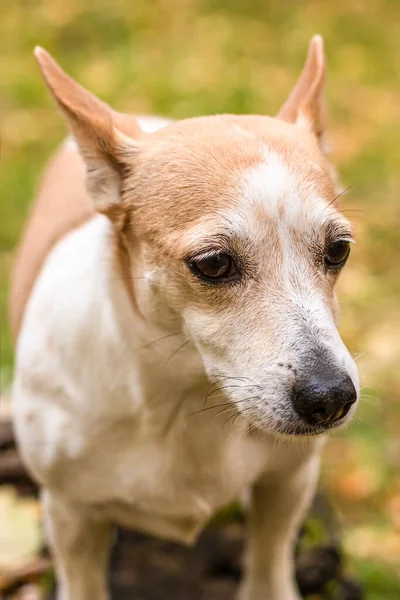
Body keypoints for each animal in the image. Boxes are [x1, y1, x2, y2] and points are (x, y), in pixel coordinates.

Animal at [10, 35, 358, 596]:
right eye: (213, 264)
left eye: (339, 250)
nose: (331, 398)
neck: (186, 400)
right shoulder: (71, 516)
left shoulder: (287, 481)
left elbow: (268, 565)